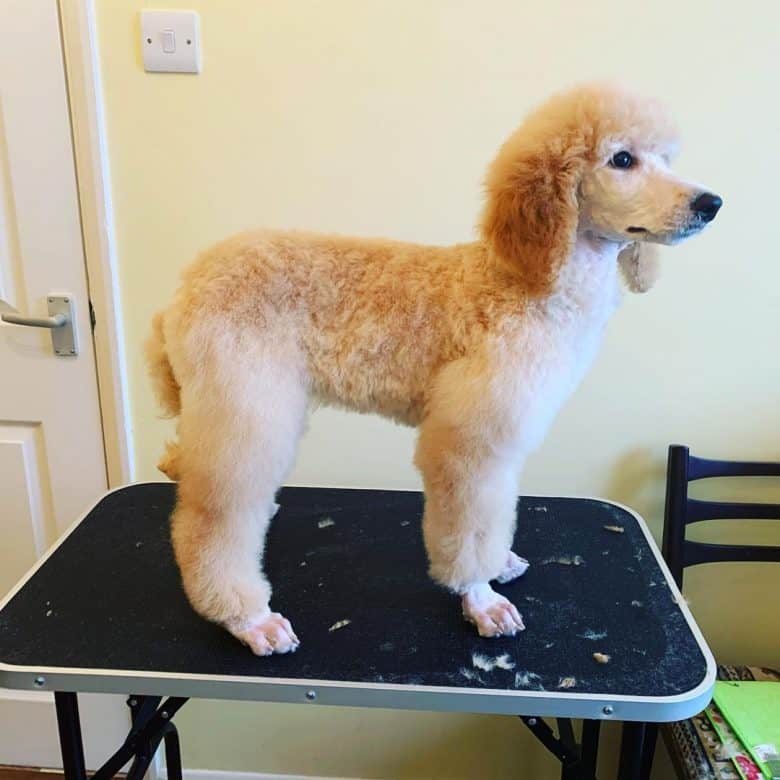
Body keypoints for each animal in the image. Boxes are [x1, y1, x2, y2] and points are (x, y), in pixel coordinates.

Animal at [146, 84, 720, 652]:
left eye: (667, 159)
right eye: (622, 159)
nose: (711, 203)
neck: (525, 281)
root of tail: (185, 288)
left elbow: (496, 517)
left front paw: (499, 564)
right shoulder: (470, 440)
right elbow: (471, 528)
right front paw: (481, 598)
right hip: (245, 405)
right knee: (211, 520)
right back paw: (246, 617)